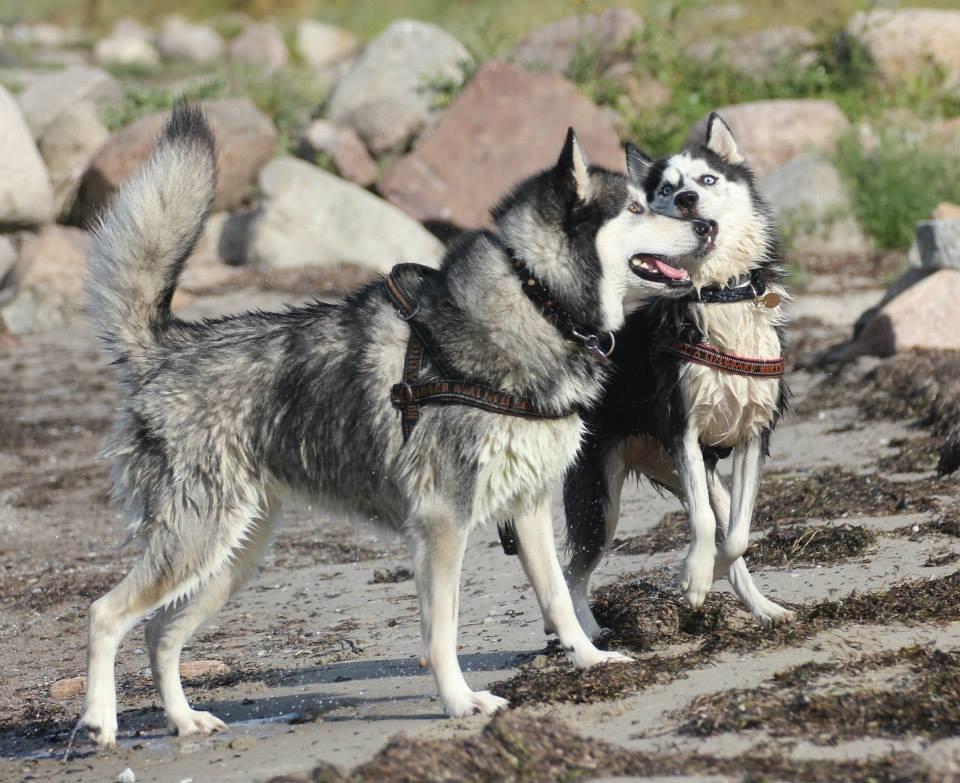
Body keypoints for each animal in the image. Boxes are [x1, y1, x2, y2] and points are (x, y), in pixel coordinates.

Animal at [80, 105, 712, 748]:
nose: (707, 225)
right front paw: (460, 702)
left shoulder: (528, 508)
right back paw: (100, 722)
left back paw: (184, 720)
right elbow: (442, 632)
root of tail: (166, 346)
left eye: (658, 198)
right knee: (106, 613)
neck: (536, 302)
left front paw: (589, 660)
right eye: (638, 207)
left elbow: (560, 598)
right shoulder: (442, 525)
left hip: (228, 560)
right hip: (199, 542)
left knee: (158, 633)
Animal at [560, 116, 792, 644]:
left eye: (706, 180)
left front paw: (704, 575)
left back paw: (763, 607)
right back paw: (590, 632)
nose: (687, 200)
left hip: (683, 471)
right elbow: (705, 524)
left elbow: (738, 534)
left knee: (724, 518)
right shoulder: (683, 428)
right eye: (666, 190)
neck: (718, 294)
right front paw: (692, 578)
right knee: (573, 572)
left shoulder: (753, 436)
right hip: (600, 499)